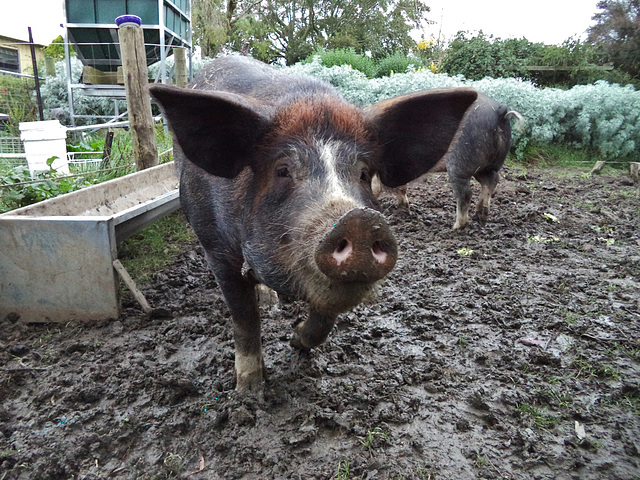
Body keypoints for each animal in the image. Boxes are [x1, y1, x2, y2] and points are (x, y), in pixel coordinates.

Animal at [146, 55, 476, 394]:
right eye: (282, 170)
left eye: (364, 173)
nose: (358, 220)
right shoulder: (215, 250)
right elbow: (244, 318)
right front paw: (249, 390)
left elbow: (324, 319)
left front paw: (296, 341)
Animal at [372, 93, 524, 231]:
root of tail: (499, 112)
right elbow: (400, 188)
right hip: (487, 166)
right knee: (492, 180)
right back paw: (480, 219)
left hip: (459, 165)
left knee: (466, 194)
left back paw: (455, 228)